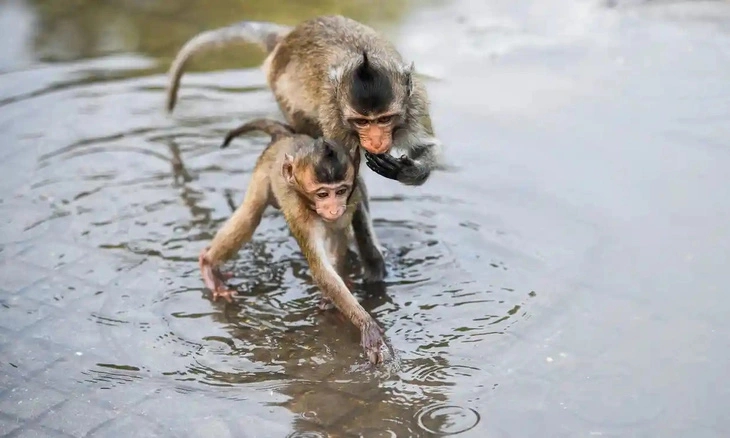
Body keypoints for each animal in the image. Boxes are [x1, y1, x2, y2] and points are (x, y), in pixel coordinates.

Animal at [168, 13, 440, 280]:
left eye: (384, 119)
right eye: (362, 122)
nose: (375, 141)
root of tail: (287, 37)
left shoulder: (416, 104)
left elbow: (424, 148)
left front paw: (407, 171)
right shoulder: (334, 118)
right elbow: (348, 176)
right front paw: (374, 268)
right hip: (284, 92)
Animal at [196, 118, 384, 364]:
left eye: (341, 191)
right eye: (323, 194)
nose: (334, 209)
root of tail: (286, 136)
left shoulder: (351, 202)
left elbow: (337, 241)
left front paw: (330, 298)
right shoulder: (299, 213)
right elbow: (320, 269)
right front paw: (366, 324)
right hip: (263, 170)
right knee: (251, 214)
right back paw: (208, 264)